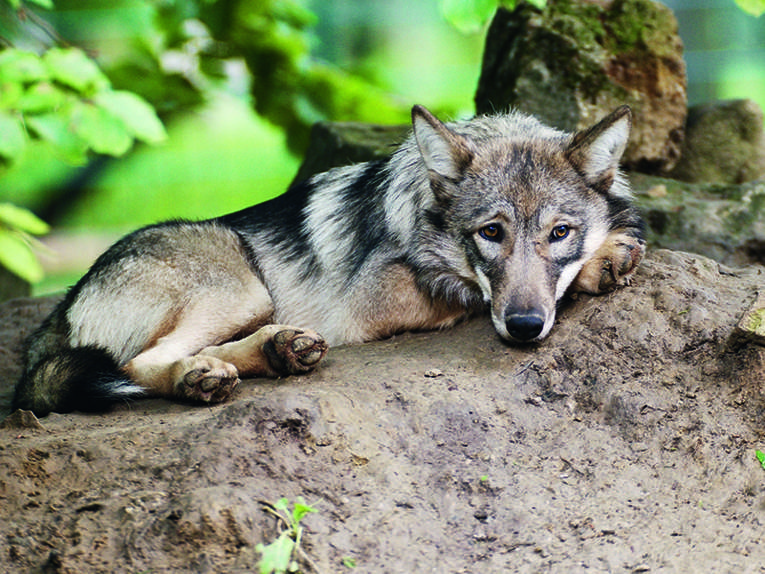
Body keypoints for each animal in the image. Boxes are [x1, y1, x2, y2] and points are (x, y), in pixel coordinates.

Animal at [12, 105, 645, 416]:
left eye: (559, 232)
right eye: (491, 233)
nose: (525, 327)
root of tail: (53, 322)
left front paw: (608, 252)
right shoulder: (377, 299)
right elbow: (471, 293)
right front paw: (601, 263)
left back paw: (277, 351)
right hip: (240, 284)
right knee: (137, 363)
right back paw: (201, 378)